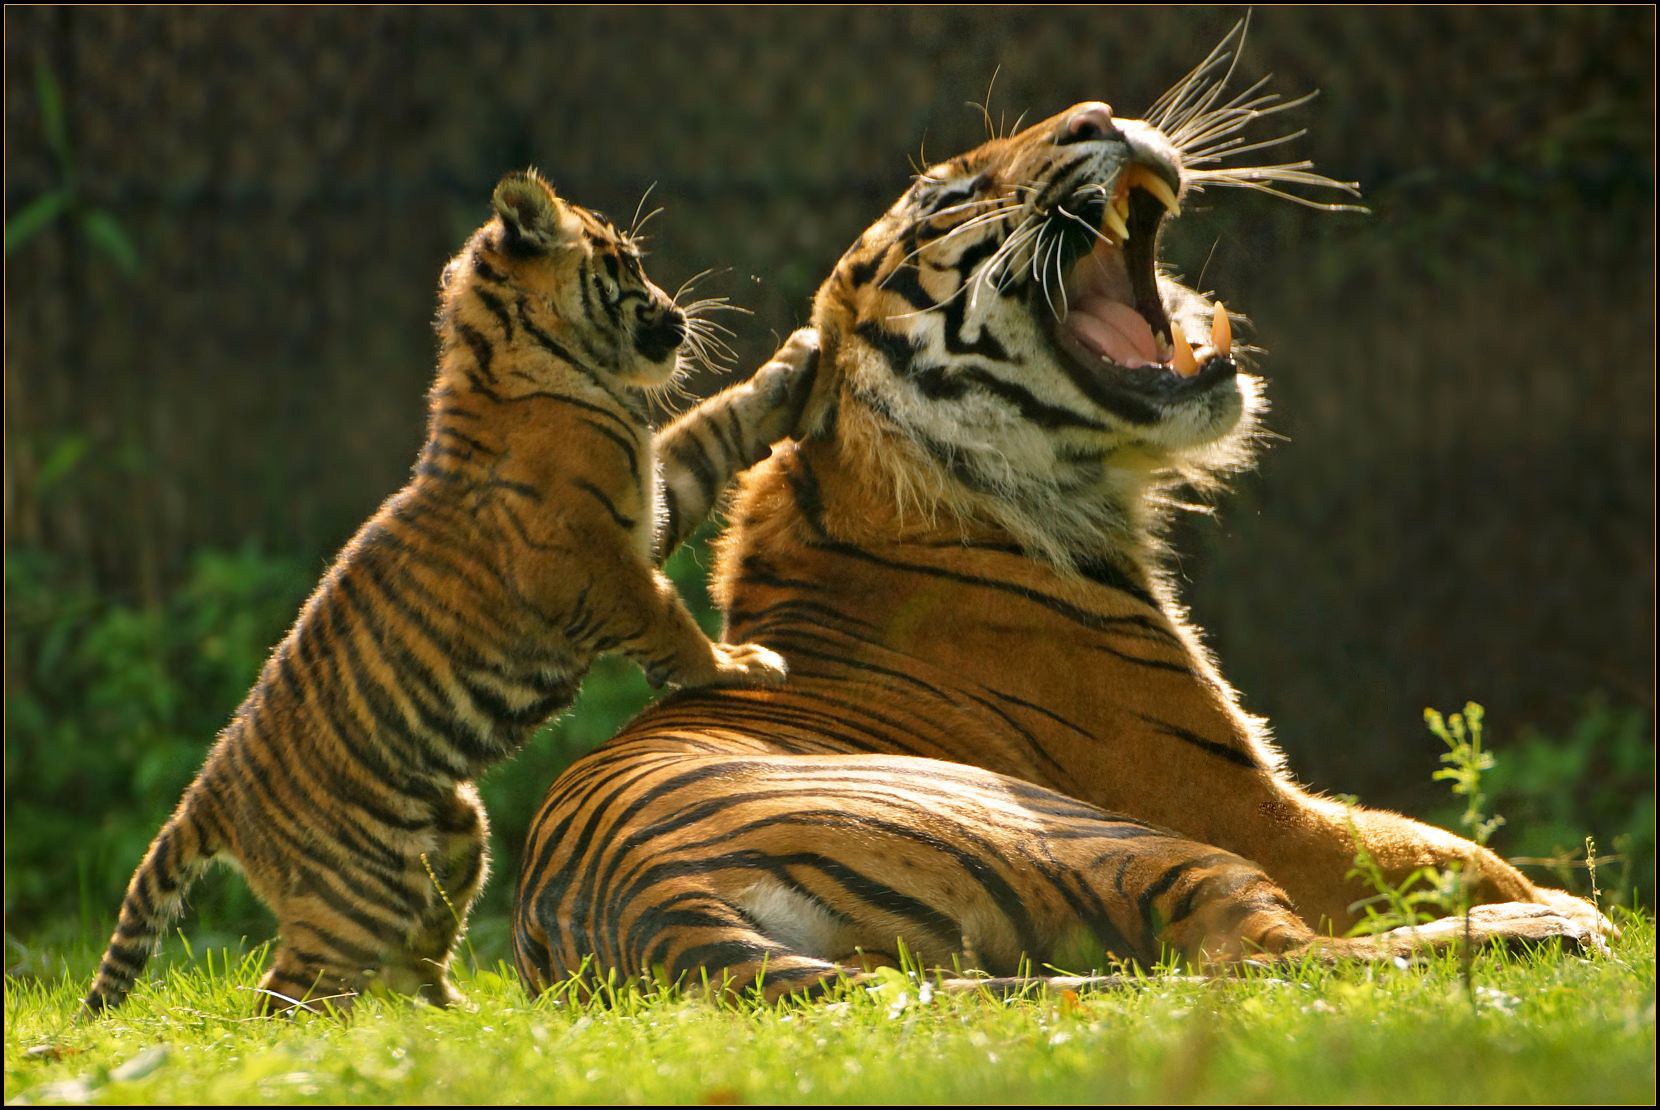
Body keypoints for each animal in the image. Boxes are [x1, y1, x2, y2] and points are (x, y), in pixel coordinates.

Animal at [507, 62, 1606, 995]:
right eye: (944, 199)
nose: (1098, 116)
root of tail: (653, 915)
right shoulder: (1253, 808)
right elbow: (1450, 851)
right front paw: (1548, 897)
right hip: (1107, 834)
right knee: (1263, 960)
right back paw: (1557, 926)